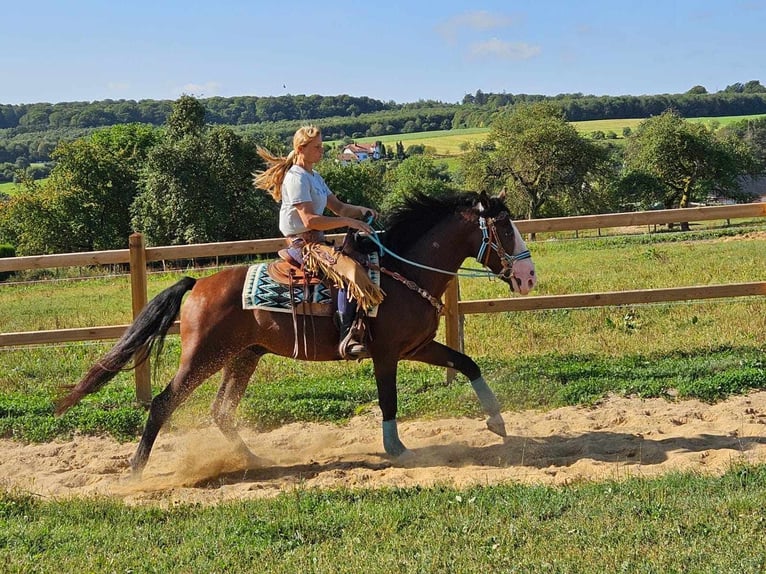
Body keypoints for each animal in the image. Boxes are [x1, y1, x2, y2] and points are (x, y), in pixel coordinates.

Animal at [55, 189, 536, 476]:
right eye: (504, 228)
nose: (528, 277)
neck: (403, 274)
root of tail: (199, 284)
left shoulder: (417, 347)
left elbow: (467, 363)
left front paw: (496, 421)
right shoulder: (386, 354)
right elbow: (388, 400)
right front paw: (396, 449)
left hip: (242, 355)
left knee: (221, 411)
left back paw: (253, 458)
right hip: (203, 356)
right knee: (163, 403)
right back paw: (136, 471)